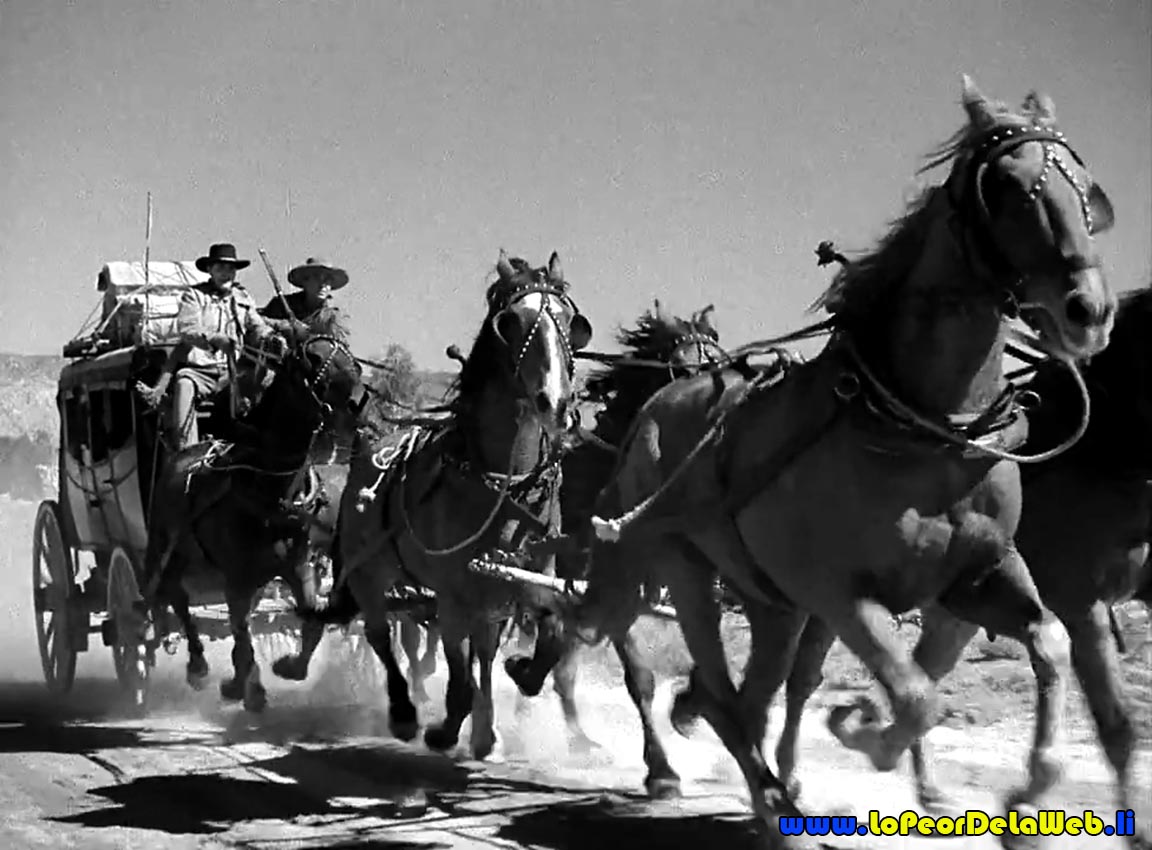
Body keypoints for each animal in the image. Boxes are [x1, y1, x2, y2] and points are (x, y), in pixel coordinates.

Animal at [131, 331, 366, 709]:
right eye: (313, 359)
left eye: (351, 359)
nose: (360, 400)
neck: (271, 489)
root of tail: (180, 454)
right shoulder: (237, 579)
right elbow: (242, 633)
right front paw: (249, 687)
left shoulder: (299, 567)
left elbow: (311, 619)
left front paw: (287, 667)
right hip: (166, 548)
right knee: (173, 597)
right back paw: (197, 665)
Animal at [774, 283, 1152, 843]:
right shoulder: (1082, 602)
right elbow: (1117, 724)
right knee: (803, 679)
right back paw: (794, 776)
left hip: (949, 614)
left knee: (914, 675)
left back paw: (919, 786)